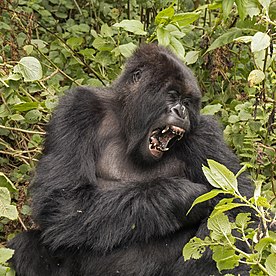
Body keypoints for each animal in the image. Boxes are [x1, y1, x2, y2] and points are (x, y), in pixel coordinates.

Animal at [8, 44, 253, 274]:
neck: (126, 120)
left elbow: (240, 205)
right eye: (172, 96)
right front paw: (183, 196)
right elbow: (63, 199)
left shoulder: (204, 132)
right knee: (26, 245)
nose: (181, 112)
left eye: (187, 102)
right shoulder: (77, 109)